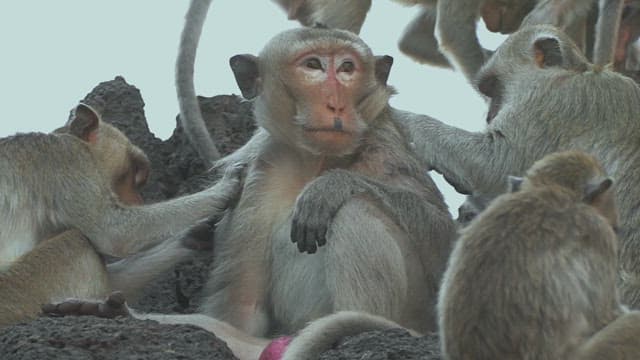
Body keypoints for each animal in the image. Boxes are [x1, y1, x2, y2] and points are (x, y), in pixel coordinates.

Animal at [398, 24, 640, 306]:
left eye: (493, 87)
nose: (489, 115)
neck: (575, 73)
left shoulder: (550, 104)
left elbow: (496, 163)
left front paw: (404, 120)